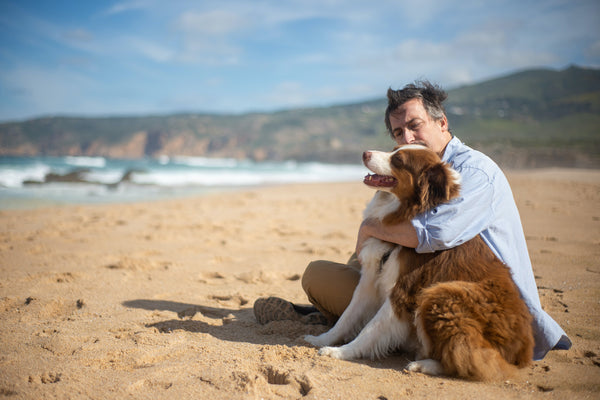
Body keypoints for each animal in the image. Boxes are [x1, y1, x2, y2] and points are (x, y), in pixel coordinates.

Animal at [304, 145, 536, 382]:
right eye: (394, 149)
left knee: (471, 358)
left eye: (398, 160)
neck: (404, 211)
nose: (365, 153)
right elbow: (348, 316)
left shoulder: (403, 291)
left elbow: (371, 328)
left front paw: (342, 352)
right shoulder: (370, 280)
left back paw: (425, 365)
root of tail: (523, 353)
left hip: (441, 294)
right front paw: (323, 340)